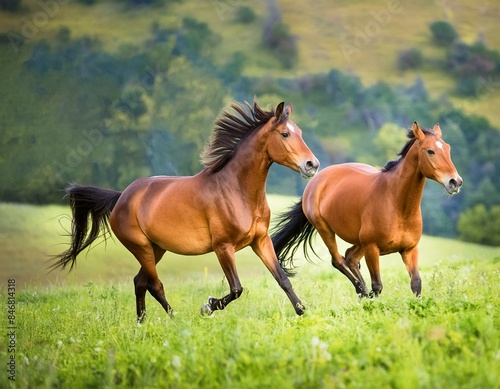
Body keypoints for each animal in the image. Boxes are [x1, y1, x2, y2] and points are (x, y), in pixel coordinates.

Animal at [53, 100, 320, 318]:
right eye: (285, 133)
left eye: (300, 132)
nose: (312, 165)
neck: (236, 190)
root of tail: (121, 197)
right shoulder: (223, 247)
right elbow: (236, 289)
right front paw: (208, 306)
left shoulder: (260, 241)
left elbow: (282, 279)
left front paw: (302, 311)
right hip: (141, 247)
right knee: (154, 284)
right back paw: (175, 319)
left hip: (156, 248)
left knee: (140, 282)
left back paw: (142, 322)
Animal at [272, 122, 462, 298]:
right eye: (430, 151)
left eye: (448, 148)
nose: (455, 182)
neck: (398, 206)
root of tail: (317, 179)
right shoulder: (372, 249)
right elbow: (377, 286)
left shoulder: (409, 250)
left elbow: (416, 284)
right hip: (325, 230)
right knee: (339, 260)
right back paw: (362, 291)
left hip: (359, 241)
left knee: (351, 258)